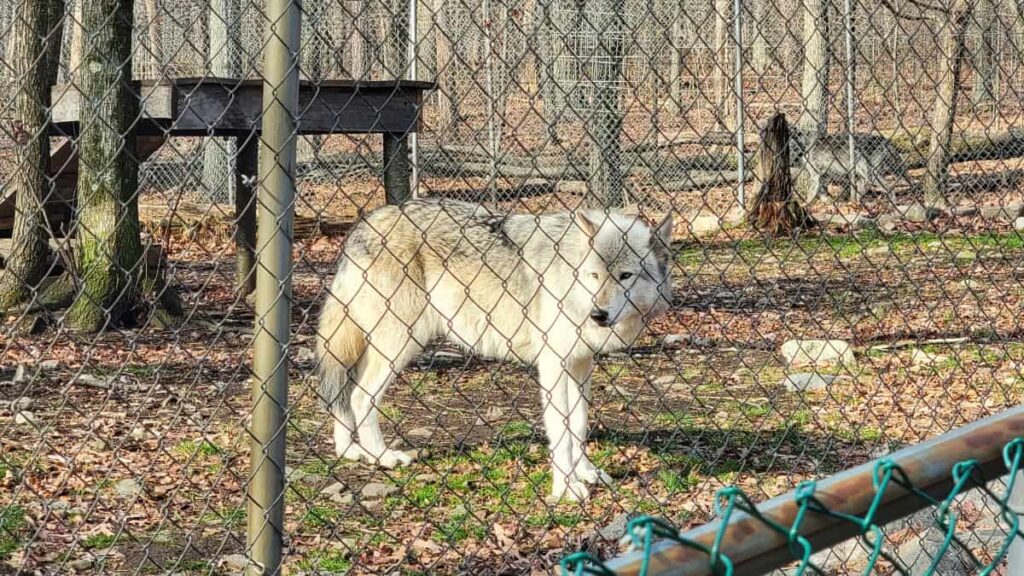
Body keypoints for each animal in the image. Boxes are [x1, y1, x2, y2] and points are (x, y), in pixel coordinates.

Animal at [315, 196, 675, 498]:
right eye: (594, 275)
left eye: (625, 276)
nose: (598, 314)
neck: (570, 278)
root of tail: (363, 225)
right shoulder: (553, 365)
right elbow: (560, 432)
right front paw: (566, 488)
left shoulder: (581, 363)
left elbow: (579, 424)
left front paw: (585, 472)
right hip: (401, 342)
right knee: (360, 395)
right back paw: (382, 456)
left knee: (343, 391)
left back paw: (351, 451)